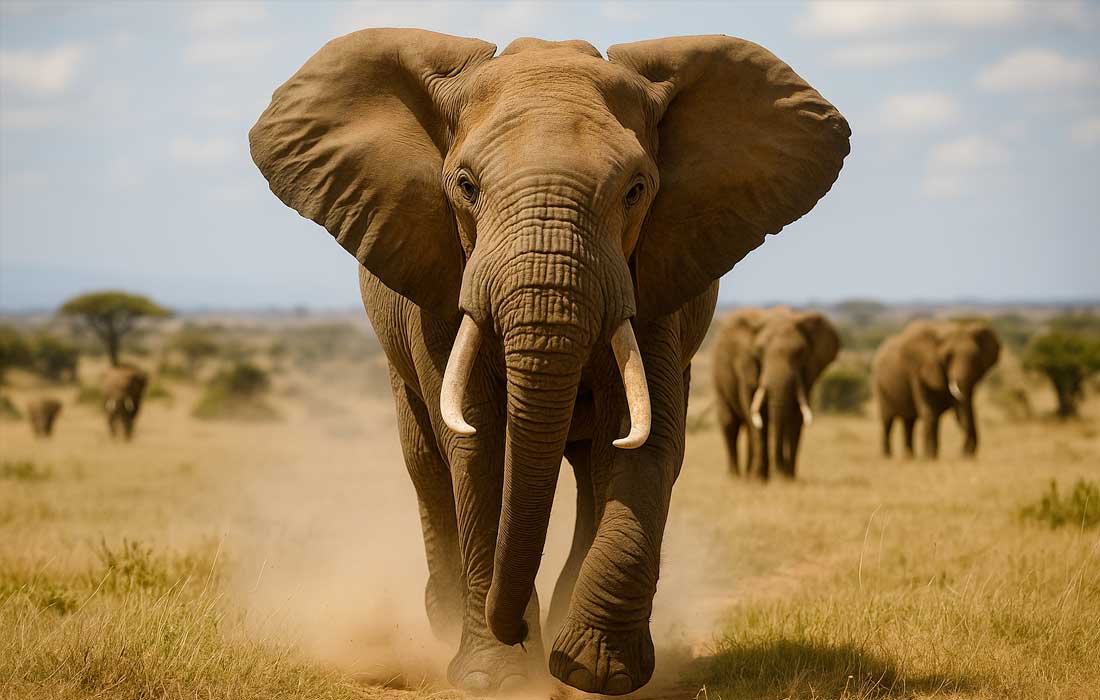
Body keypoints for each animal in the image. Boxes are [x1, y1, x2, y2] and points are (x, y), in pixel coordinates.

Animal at [712, 308, 839, 480]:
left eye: (801, 352)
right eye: (759, 351)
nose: (779, 471)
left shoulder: (807, 373)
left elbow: (796, 417)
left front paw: (787, 478)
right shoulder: (746, 365)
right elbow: (756, 415)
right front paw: (762, 478)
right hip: (718, 377)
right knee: (730, 423)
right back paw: (737, 476)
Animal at [873, 320, 1000, 459]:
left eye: (976, 357)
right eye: (948, 357)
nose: (965, 452)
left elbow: (961, 411)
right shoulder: (917, 369)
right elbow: (930, 412)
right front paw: (930, 457)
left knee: (909, 422)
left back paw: (910, 456)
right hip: (880, 386)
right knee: (887, 422)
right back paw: (887, 456)